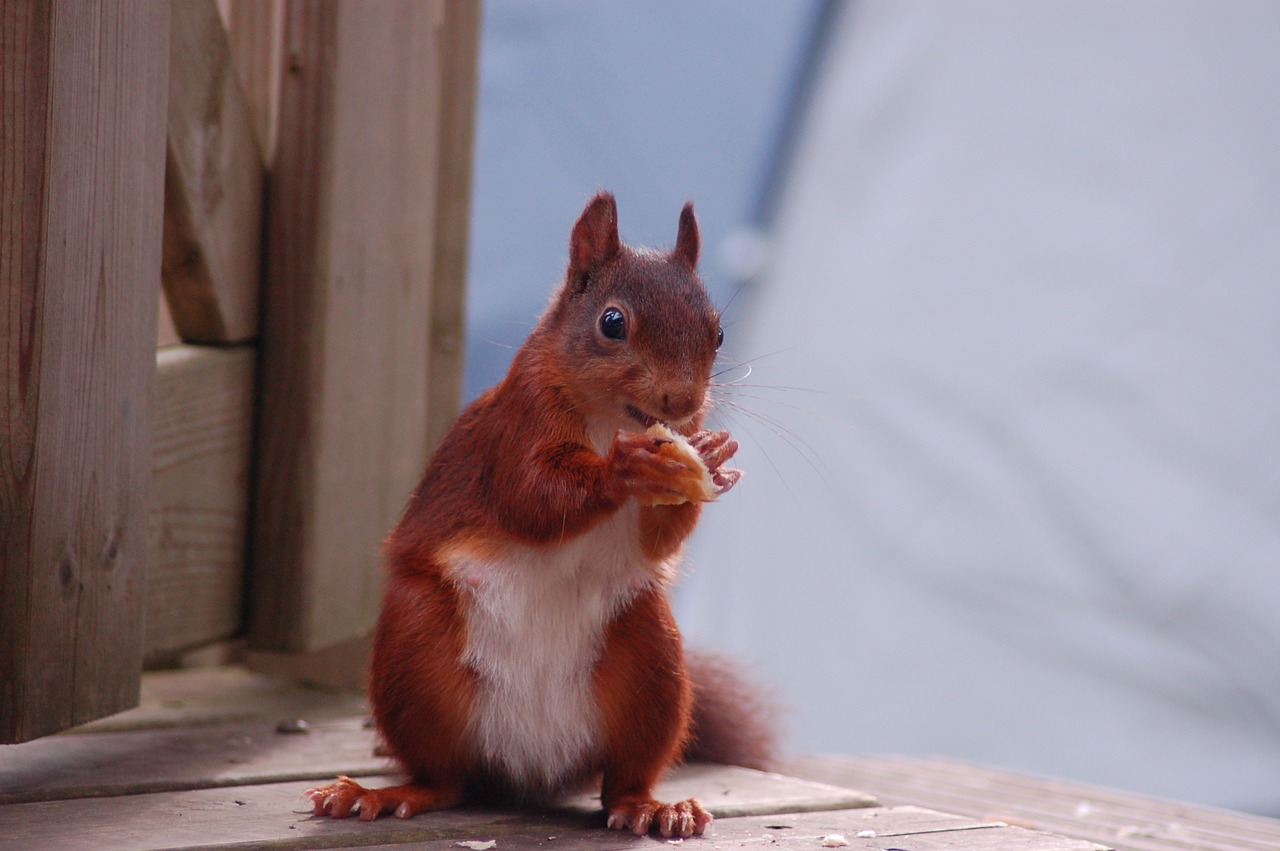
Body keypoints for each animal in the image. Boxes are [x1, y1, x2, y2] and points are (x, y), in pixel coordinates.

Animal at [308, 190, 768, 834]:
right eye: (612, 323)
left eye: (720, 333)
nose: (681, 401)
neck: (611, 420)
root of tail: (530, 764)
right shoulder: (520, 420)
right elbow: (530, 498)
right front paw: (625, 469)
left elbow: (660, 538)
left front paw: (713, 460)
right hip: (415, 650)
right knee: (443, 778)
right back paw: (383, 794)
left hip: (652, 660)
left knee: (622, 780)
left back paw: (654, 807)